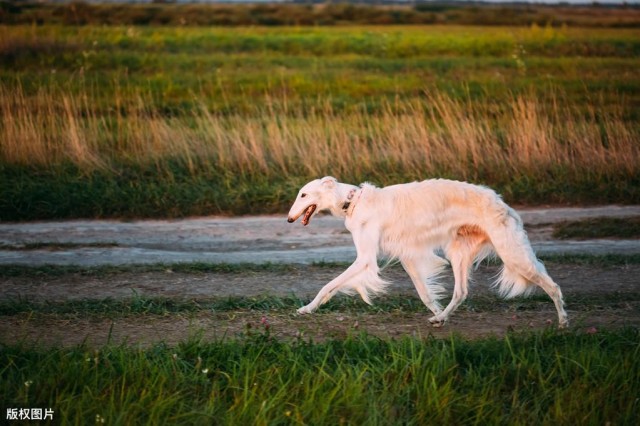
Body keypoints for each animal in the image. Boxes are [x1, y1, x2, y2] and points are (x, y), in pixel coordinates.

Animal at [288, 176, 568, 330]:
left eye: (303, 194)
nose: (289, 219)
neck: (353, 200)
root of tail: (502, 202)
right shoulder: (408, 256)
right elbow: (425, 293)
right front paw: (436, 313)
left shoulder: (366, 258)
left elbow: (329, 285)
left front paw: (307, 308)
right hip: (458, 254)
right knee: (461, 292)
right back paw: (440, 318)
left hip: (511, 253)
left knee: (553, 286)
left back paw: (563, 321)